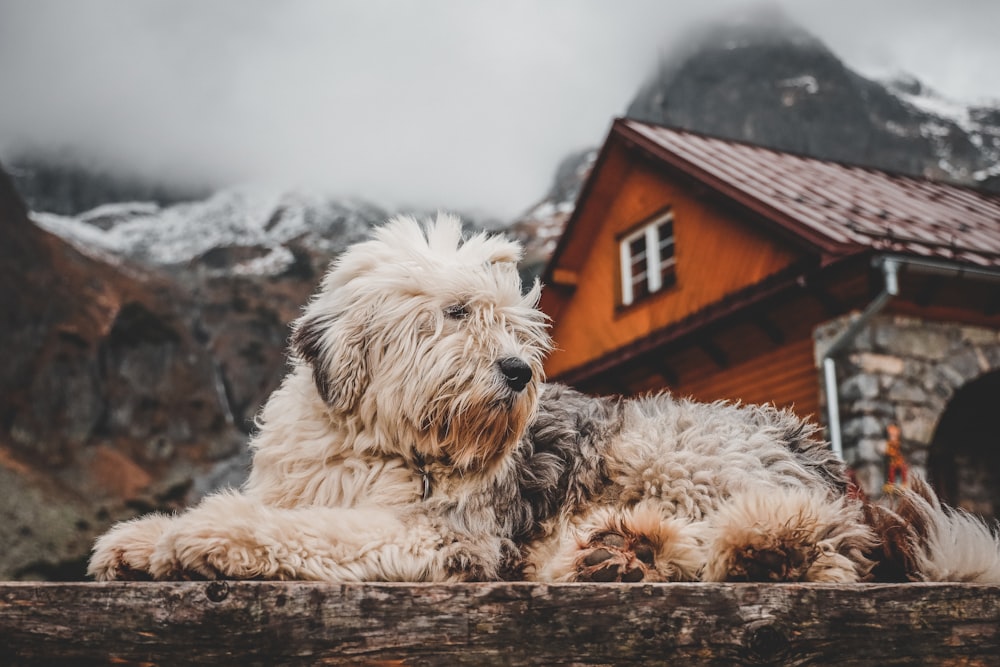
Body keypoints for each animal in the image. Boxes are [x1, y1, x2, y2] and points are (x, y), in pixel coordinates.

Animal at [90, 215, 1000, 584]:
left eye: (515, 323)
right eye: (457, 313)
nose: (518, 372)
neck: (376, 442)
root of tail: (823, 461)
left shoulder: (438, 534)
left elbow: (291, 529)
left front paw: (193, 537)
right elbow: (274, 511)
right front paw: (140, 539)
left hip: (662, 442)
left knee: (806, 546)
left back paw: (727, 546)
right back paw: (617, 553)